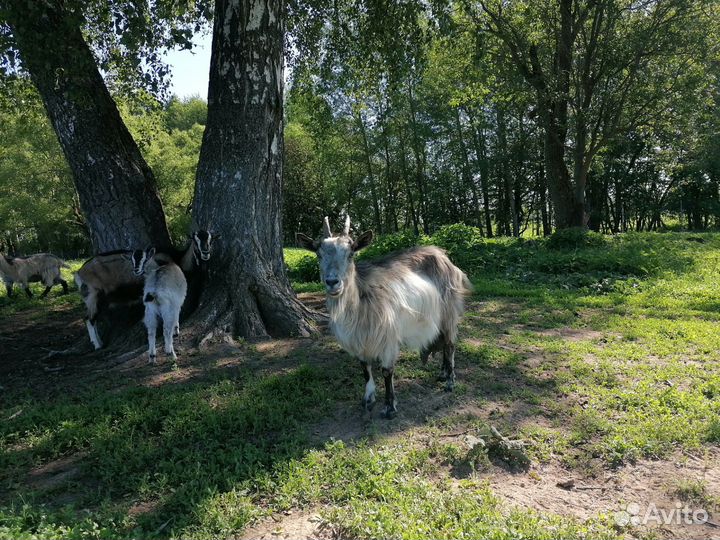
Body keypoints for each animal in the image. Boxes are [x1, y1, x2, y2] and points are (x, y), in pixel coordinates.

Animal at [74, 231, 213, 349]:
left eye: (210, 238)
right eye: (195, 240)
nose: (205, 252)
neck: (177, 260)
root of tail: (79, 273)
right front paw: (173, 331)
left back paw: (100, 342)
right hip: (92, 295)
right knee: (88, 319)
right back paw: (98, 345)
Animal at [297, 216, 472, 419]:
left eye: (351, 254)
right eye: (318, 254)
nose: (333, 282)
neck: (359, 302)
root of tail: (445, 257)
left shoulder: (387, 335)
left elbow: (387, 371)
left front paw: (389, 407)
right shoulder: (359, 340)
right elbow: (365, 369)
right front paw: (368, 399)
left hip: (448, 311)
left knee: (450, 344)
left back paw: (450, 382)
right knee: (443, 342)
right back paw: (443, 374)